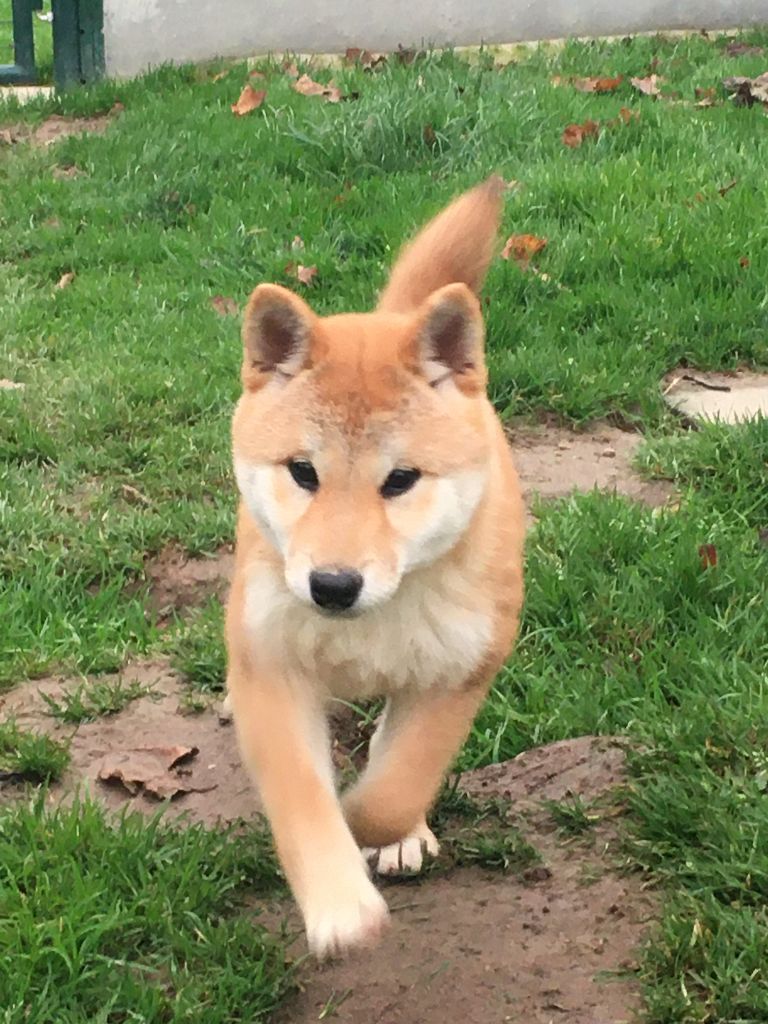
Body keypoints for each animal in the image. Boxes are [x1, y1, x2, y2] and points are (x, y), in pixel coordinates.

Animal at [228, 178, 528, 958]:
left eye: (401, 480)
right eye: (303, 472)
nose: (333, 586)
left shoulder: (460, 670)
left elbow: (395, 789)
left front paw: (374, 825)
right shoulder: (271, 667)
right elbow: (304, 797)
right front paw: (339, 902)